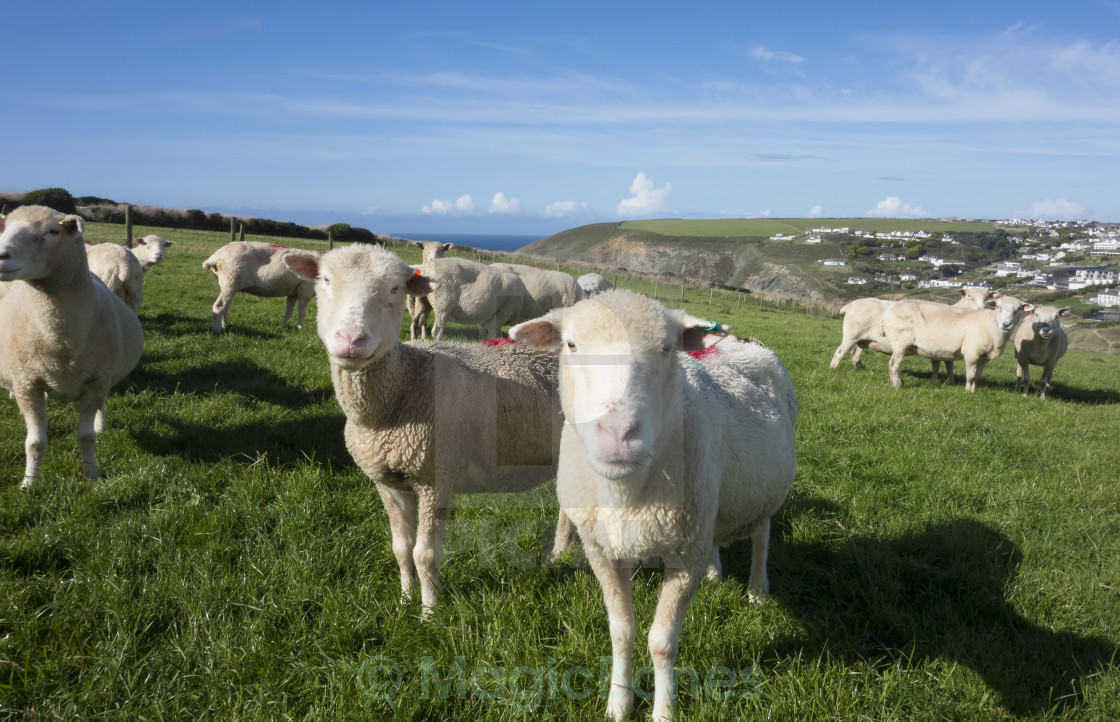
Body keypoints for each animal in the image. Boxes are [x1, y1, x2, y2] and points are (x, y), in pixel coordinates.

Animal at [0, 205, 144, 488]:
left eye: (52, 231)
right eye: (5, 228)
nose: (0, 255)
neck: (60, 341)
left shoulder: (96, 381)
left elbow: (86, 437)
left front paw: (93, 475)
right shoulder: (28, 384)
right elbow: (34, 442)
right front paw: (28, 484)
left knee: (100, 406)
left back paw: (100, 424)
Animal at [284, 244, 573, 613]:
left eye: (395, 289)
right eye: (324, 280)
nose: (351, 340)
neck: (401, 391)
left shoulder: (436, 477)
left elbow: (425, 554)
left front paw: (429, 611)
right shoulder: (388, 482)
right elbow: (401, 549)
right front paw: (405, 600)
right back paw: (560, 556)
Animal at [508, 291, 797, 716]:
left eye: (666, 349)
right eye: (571, 345)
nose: (618, 434)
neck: (625, 494)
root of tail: (743, 341)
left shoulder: (684, 556)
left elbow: (661, 643)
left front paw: (664, 710)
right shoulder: (602, 550)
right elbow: (621, 632)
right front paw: (618, 703)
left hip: (761, 490)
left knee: (762, 535)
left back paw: (757, 589)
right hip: (708, 504)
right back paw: (715, 573)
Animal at [833, 284, 999, 382]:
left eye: (987, 297)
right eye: (969, 296)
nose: (980, 308)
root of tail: (850, 305)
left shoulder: (945, 347)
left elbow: (946, 365)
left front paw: (945, 381)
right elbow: (942, 365)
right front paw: (942, 382)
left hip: (862, 339)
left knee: (855, 354)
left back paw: (860, 369)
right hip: (851, 334)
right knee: (840, 352)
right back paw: (833, 369)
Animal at [882, 293, 1030, 391]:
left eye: (1018, 310)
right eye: (998, 307)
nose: (1006, 325)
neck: (991, 325)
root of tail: (889, 311)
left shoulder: (984, 356)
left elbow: (977, 377)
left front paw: (975, 390)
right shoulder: (971, 352)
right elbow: (970, 376)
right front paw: (968, 391)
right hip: (900, 340)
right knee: (893, 364)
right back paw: (896, 385)